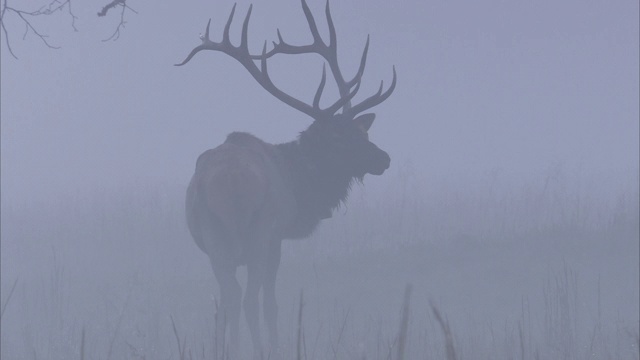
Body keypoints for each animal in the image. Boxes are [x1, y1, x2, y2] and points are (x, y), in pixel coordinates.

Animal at [176, 0, 396, 356]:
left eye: (361, 131)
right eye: (339, 138)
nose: (383, 158)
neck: (297, 182)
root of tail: (229, 182)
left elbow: (223, 306)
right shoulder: (276, 236)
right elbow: (271, 304)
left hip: (214, 237)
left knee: (230, 299)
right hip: (257, 233)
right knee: (249, 301)